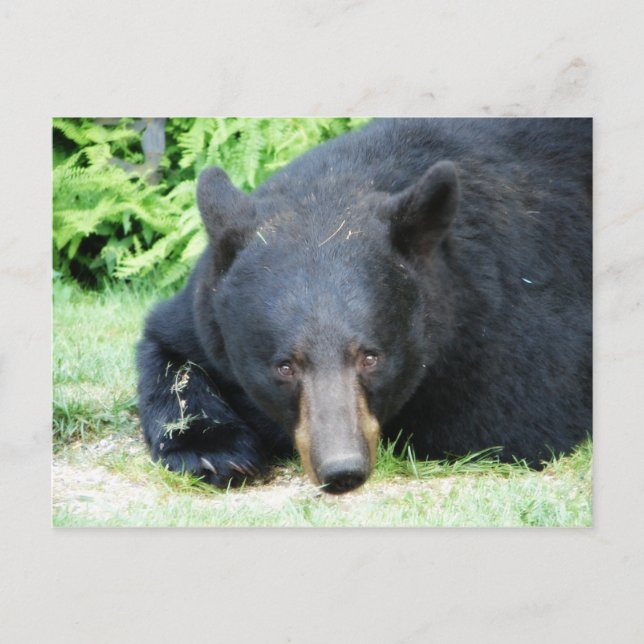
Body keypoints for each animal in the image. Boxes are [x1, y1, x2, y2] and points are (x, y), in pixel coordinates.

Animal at [136, 118, 592, 494]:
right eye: (284, 366)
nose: (342, 470)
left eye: (371, 357)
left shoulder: (507, 324)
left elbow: (501, 423)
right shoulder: (205, 308)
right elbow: (169, 350)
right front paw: (214, 451)